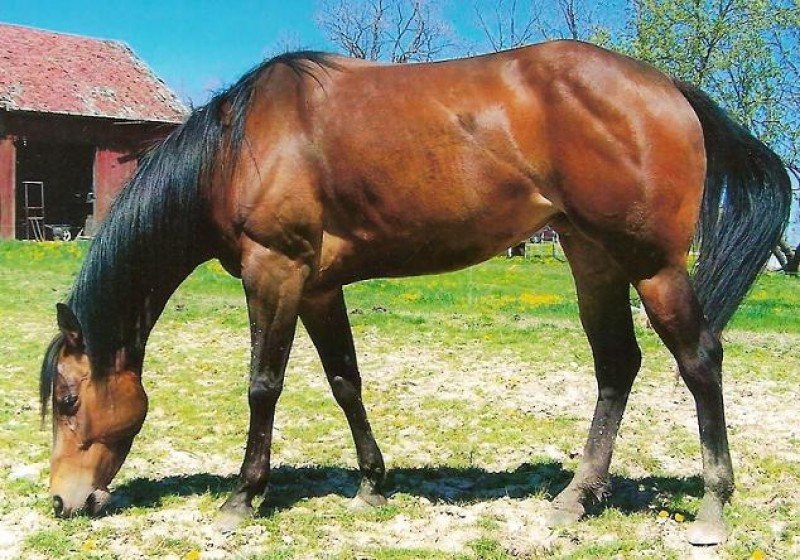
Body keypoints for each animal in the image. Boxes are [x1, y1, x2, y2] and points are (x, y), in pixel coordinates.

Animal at [40, 41, 792, 546]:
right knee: (617, 365)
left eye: (68, 400)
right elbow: (345, 381)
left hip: (654, 264)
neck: (240, 147)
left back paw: (712, 507)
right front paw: (372, 485)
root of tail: (669, 86)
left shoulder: (275, 272)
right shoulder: (319, 288)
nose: (62, 501)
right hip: (593, 258)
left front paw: (242, 498)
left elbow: (263, 385)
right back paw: (577, 497)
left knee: (699, 361)